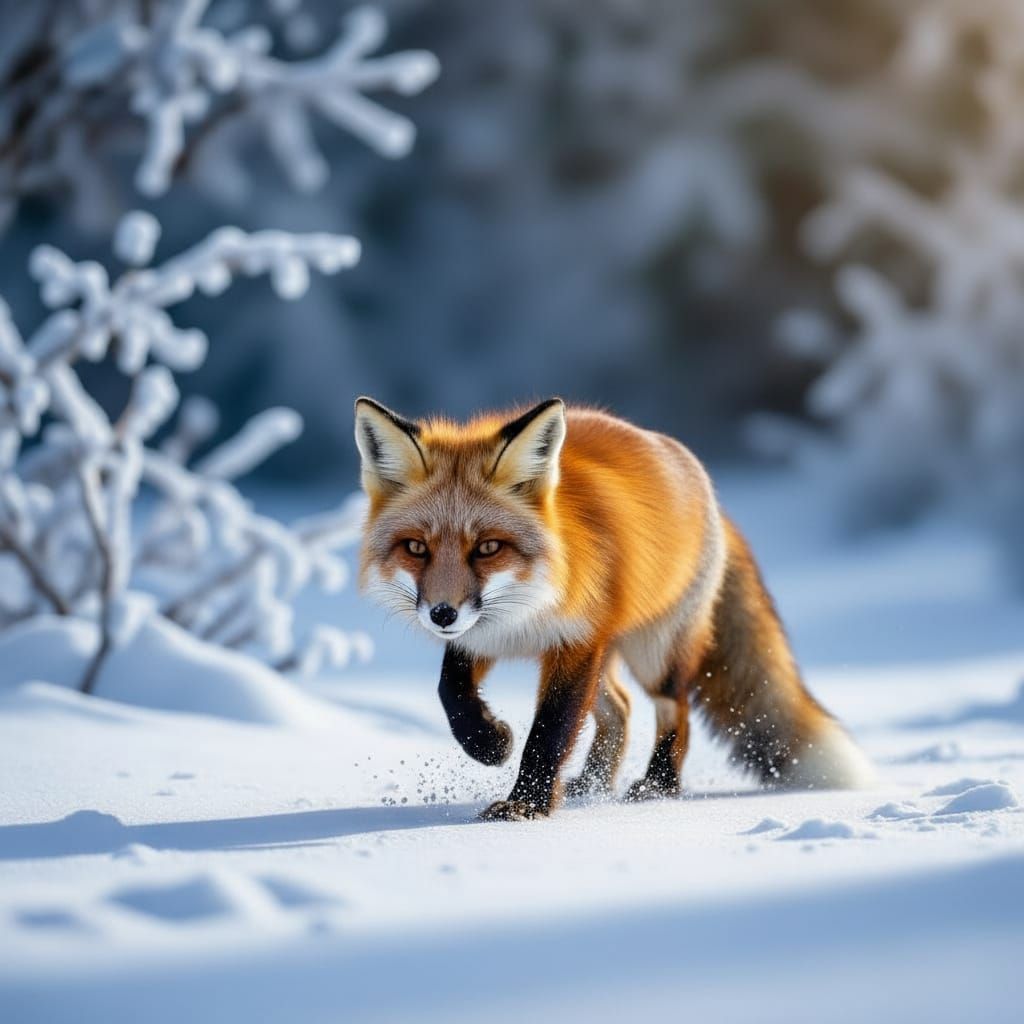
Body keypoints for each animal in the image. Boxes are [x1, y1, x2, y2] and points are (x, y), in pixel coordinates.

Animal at [354, 396, 874, 821]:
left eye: (487, 548)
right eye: (416, 548)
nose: (441, 614)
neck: (529, 608)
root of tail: (707, 489)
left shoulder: (576, 640)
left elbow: (550, 731)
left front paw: (527, 805)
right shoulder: (484, 634)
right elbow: (451, 693)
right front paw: (490, 742)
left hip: (654, 654)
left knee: (674, 709)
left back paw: (659, 785)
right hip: (607, 658)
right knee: (621, 709)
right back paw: (591, 785)